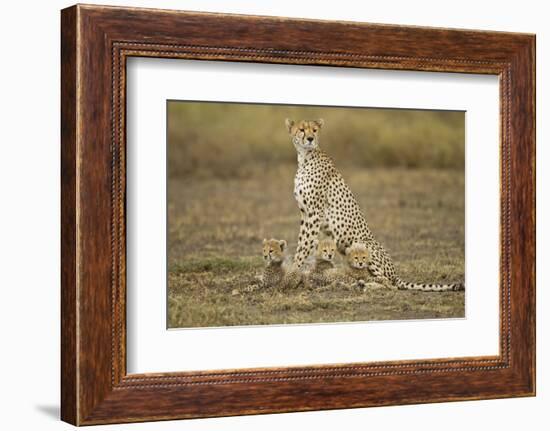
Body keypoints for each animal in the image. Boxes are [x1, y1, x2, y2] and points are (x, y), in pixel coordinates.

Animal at [288, 118, 466, 294]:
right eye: (302, 129)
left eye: (315, 130)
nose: (310, 139)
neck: (305, 157)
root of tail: (395, 273)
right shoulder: (305, 213)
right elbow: (302, 243)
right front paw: (296, 272)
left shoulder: (314, 213)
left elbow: (304, 246)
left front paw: (292, 273)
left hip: (363, 246)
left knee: (389, 283)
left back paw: (364, 286)